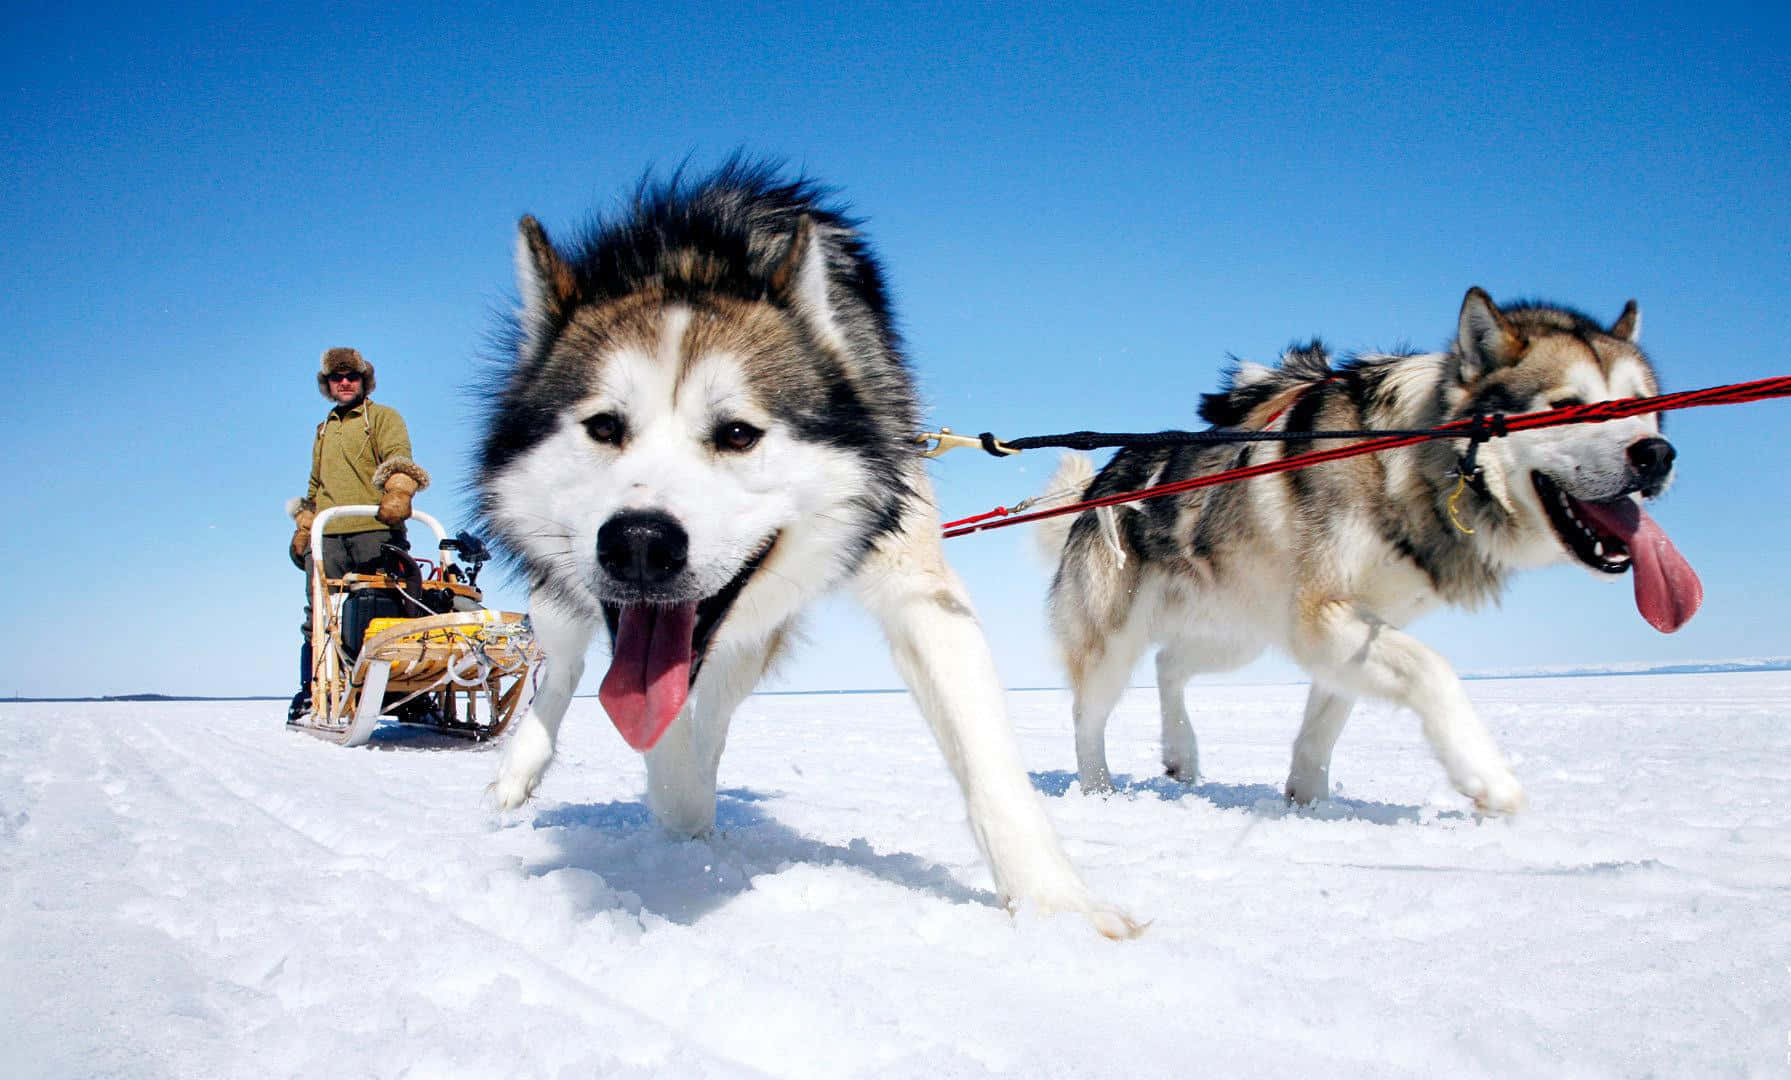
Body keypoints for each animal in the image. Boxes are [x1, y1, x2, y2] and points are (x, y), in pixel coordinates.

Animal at [479, 164, 1131, 945]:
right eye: (604, 426)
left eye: (737, 433)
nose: (639, 544)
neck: (696, 256)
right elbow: (642, 727)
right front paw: (668, 797)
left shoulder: (916, 586)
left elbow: (988, 759)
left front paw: (1056, 904)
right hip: (566, 592)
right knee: (565, 666)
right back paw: (523, 768)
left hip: (754, 635)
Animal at [1045, 286, 1697, 809]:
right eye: (1567, 407)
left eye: (1644, 403)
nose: (1656, 454)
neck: (1407, 463)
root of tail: (1101, 480)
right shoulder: (1322, 617)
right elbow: (1432, 670)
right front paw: (1485, 776)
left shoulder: (1353, 625)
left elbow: (1327, 718)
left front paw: (1308, 799)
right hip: (1117, 639)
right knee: (1086, 715)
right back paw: (1099, 789)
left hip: (1242, 630)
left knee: (1170, 663)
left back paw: (1182, 752)